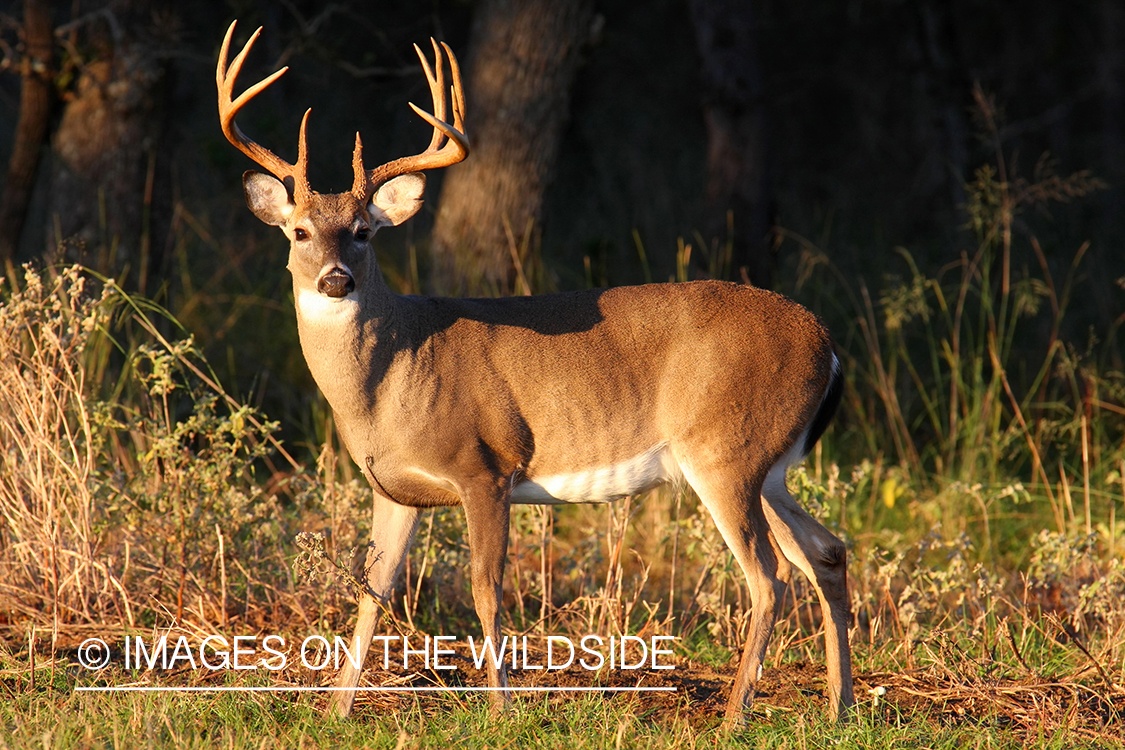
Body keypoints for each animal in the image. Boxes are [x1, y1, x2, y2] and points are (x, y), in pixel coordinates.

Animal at [214, 22, 855, 728]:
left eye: (362, 231)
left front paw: (499, 710)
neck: (393, 377)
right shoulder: (394, 489)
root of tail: (827, 345)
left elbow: (486, 590)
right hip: (769, 466)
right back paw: (840, 708)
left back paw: (737, 714)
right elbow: (372, 591)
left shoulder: (485, 466)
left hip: (725, 450)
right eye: (300, 232)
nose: (335, 279)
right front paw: (334, 712)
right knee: (827, 552)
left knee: (769, 576)